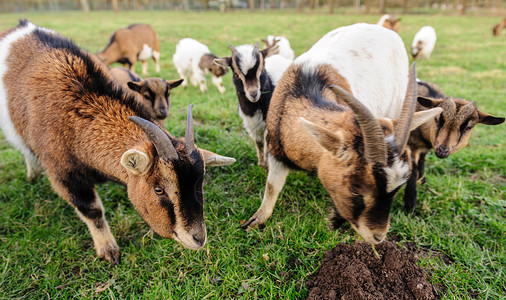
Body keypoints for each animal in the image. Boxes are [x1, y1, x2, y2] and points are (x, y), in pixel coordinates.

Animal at [0, 20, 236, 264]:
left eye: (200, 182)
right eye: (159, 189)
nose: (198, 238)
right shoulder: (64, 173)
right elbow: (92, 211)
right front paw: (108, 250)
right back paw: (32, 174)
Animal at [241, 22, 442, 244]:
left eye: (396, 189)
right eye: (356, 188)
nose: (378, 237)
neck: (304, 87)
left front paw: (336, 220)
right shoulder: (277, 151)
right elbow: (272, 187)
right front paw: (255, 221)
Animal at [404, 79, 506, 211]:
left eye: (469, 127)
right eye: (437, 119)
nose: (443, 150)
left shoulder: (422, 149)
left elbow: (421, 163)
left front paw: (423, 181)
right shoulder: (410, 145)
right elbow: (412, 170)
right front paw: (410, 208)